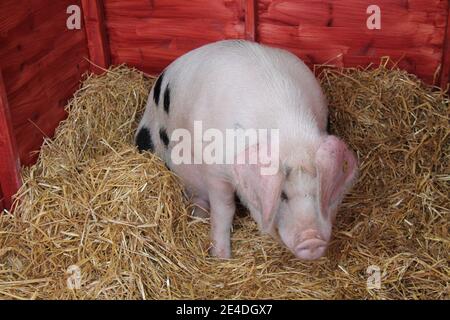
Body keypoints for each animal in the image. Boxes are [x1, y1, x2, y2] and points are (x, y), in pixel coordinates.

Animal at [135, 40, 356, 260]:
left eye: (320, 190)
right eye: (282, 195)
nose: (312, 241)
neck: (289, 132)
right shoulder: (215, 170)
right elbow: (224, 209)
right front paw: (221, 258)